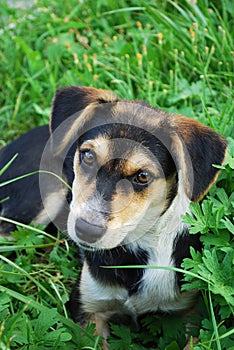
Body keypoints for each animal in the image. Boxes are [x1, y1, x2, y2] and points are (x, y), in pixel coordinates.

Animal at [0, 85, 227, 348]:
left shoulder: (193, 312)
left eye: (142, 176)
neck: (136, 254)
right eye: (87, 156)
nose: (86, 231)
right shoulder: (87, 307)